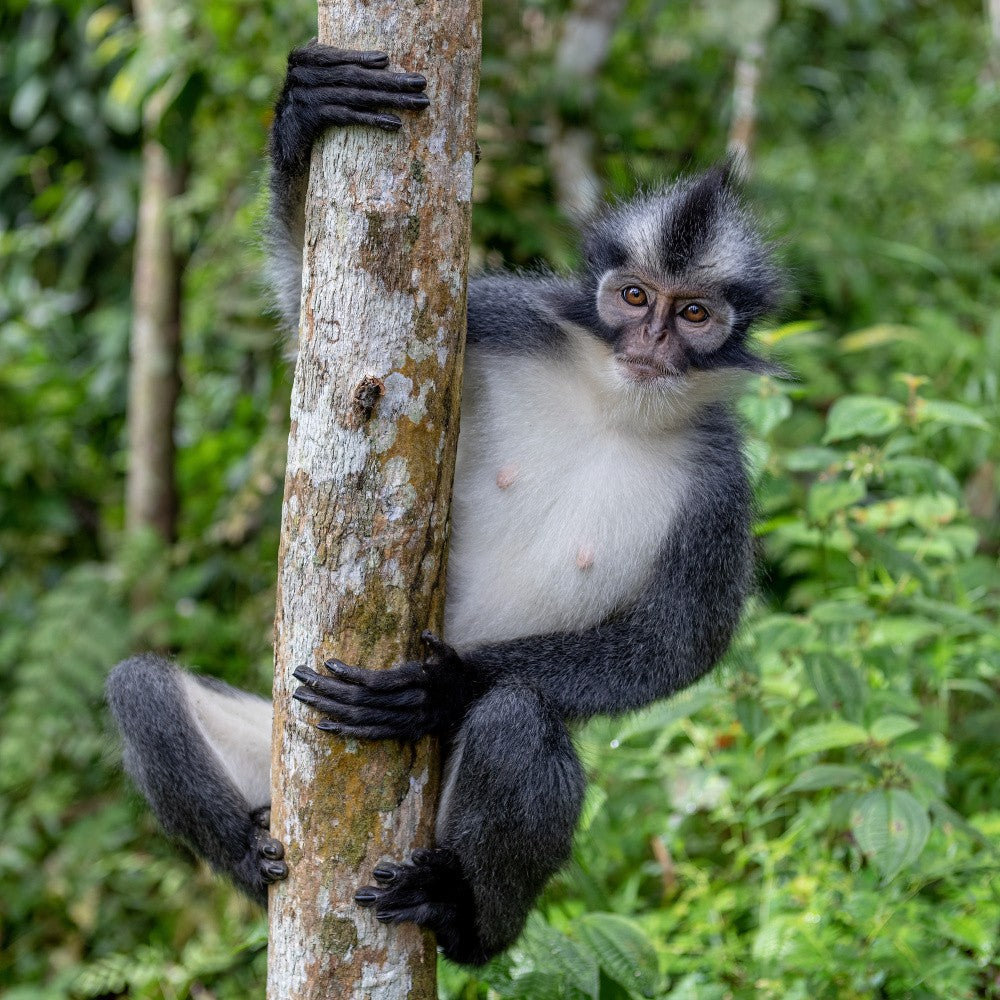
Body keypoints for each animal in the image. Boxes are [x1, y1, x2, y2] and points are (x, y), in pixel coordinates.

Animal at [107, 42, 781, 966]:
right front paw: (306, 110)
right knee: (139, 685)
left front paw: (440, 688)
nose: (650, 344)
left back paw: (462, 913)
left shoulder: (721, 489)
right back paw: (247, 855)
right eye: (636, 297)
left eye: (695, 314)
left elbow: (682, 643)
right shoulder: (502, 318)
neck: (614, 404)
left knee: (518, 721)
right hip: (276, 762)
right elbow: (304, 315)